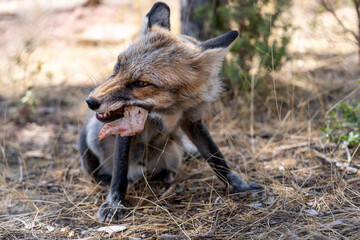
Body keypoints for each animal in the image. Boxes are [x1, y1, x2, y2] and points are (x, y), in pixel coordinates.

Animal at [78, 2, 262, 223]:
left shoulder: (193, 119)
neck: (169, 109)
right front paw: (114, 203)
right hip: (89, 139)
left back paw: (166, 176)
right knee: (101, 172)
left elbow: (216, 156)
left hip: (174, 152)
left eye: (142, 83)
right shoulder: (127, 128)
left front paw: (238, 185)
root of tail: (140, 170)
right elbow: (120, 172)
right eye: (118, 66)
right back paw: (108, 179)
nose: (91, 102)